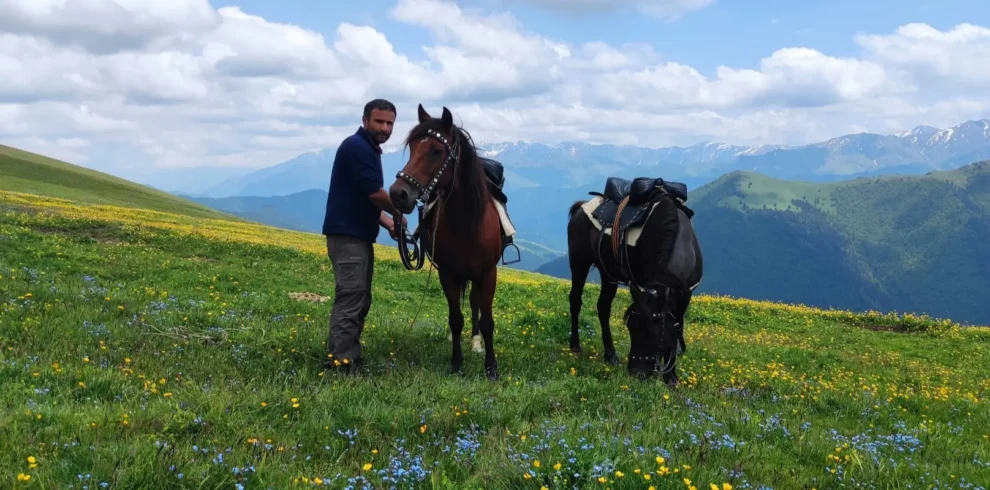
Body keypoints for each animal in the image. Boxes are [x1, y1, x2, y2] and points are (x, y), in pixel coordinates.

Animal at [388, 104, 516, 380]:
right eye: (412, 147)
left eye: (437, 151)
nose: (398, 194)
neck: (467, 222)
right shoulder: (447, 273)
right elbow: (455, 318)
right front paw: (456, 362)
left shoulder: (487, 273)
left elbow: (487, 320)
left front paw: (491, 367)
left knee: (475, 304)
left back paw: (476, 342)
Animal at [565, 177, 703, 385]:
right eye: (630, 327)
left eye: (653, 332)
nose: (636, 373)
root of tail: (581, 206)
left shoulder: (685, 293)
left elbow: (677, 324)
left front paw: (671, 377)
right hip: (579, 262)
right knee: (575, 301)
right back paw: (575, 346)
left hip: (608, 273)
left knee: (603, 307)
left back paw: (611, 355)